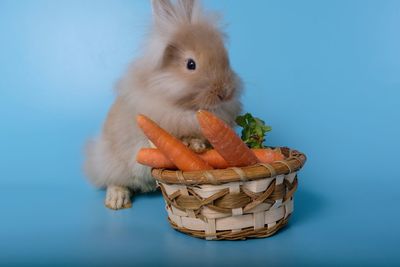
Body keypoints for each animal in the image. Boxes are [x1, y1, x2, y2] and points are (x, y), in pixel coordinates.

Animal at [83, 0, 242, 211]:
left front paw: (198, 146)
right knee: (114, 180)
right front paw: (191, 145)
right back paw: (116, 200)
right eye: (191, 64)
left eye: (226, 58)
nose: (225, 92)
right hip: (110, 161)